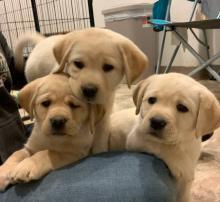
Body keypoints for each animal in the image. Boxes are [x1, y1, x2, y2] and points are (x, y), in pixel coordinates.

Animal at [14, 26, 149, 153]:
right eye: (78, 64)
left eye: (108, 67)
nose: (89, 90)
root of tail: (42, 40)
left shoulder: (104, 117)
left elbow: (100, 142)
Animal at [110, 73, 220, 202]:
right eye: (151, 100)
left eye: (182, 107)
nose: (157, 122)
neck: (182, 142)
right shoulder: (137, 137)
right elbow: (162, 146)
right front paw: (181, 164)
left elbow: (184, 196)